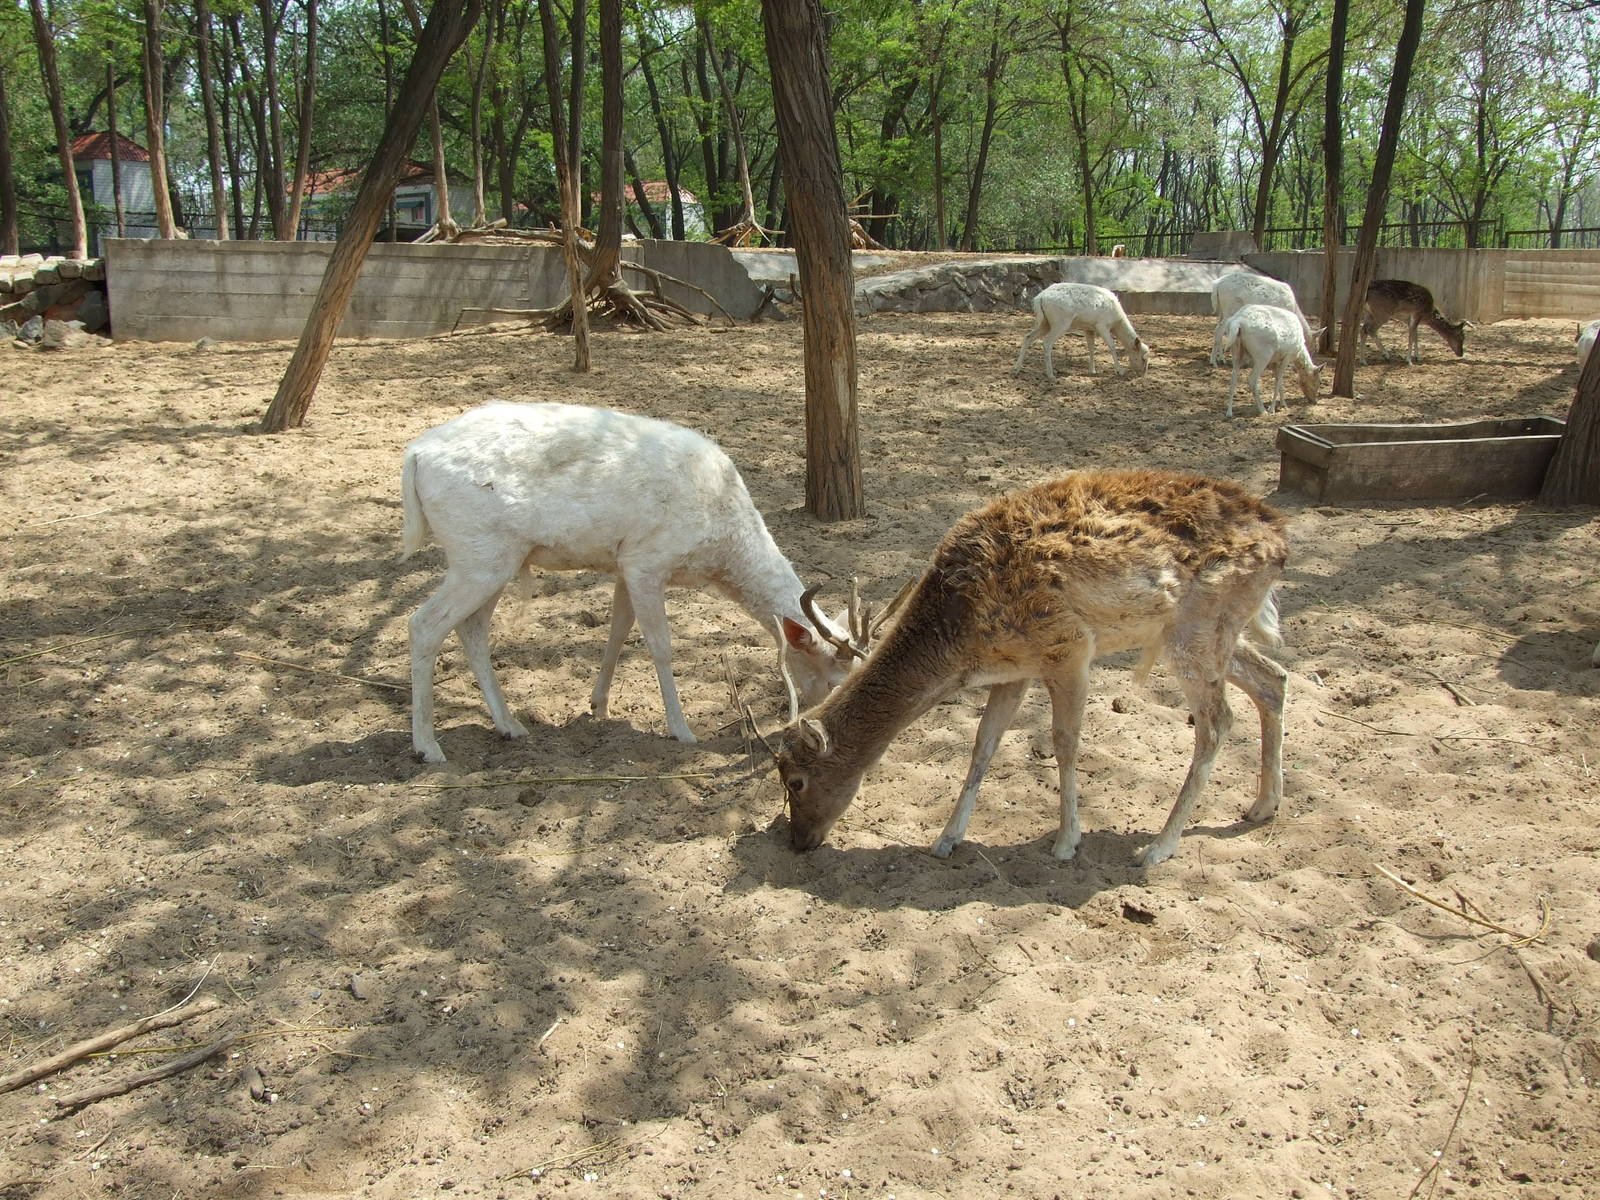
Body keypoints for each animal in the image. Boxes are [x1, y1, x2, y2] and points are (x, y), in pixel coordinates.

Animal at [776, 469, 1290, 868]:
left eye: (796, 781)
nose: (798, 842)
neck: (962, 640)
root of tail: (1281, 539)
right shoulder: (1014, 669)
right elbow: (983, 744)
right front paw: (946, 839)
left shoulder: (1069, 646)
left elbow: (1065, 743)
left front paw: (1067, 842)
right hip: (1208, 632)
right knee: (1274, 678)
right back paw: (1263, 806)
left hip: (1195, 630)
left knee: (1218, 722)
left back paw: (1159, 847)